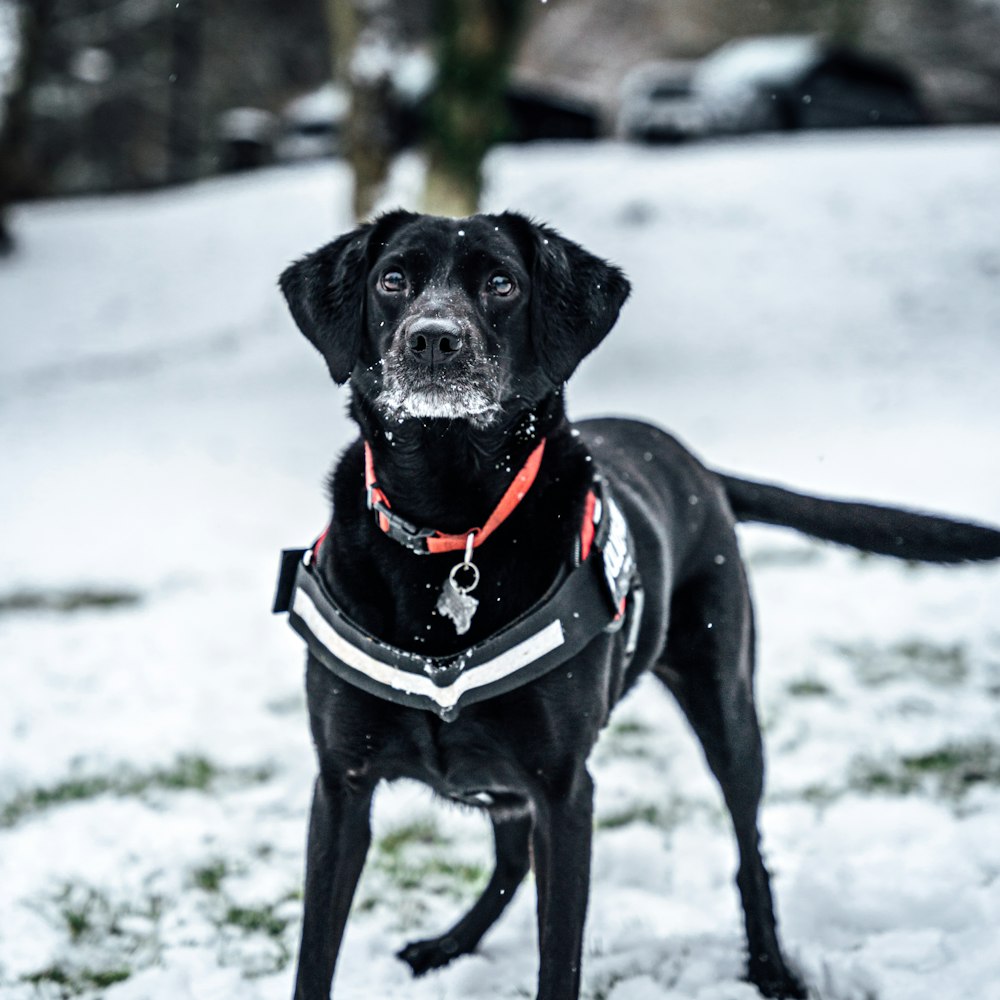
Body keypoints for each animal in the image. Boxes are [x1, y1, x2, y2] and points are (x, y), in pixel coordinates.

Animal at [274, 207, 1000, 996]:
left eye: (502, 283)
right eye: (392, 280)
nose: (434, 337)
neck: (451, 523)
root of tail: (700, 467)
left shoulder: (564, 790)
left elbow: (558, 959)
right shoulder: (341, 787)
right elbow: (315, 954)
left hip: (727, 705)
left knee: (748, 852)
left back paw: (771, 968)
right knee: (511, 856)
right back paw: (451, 944)